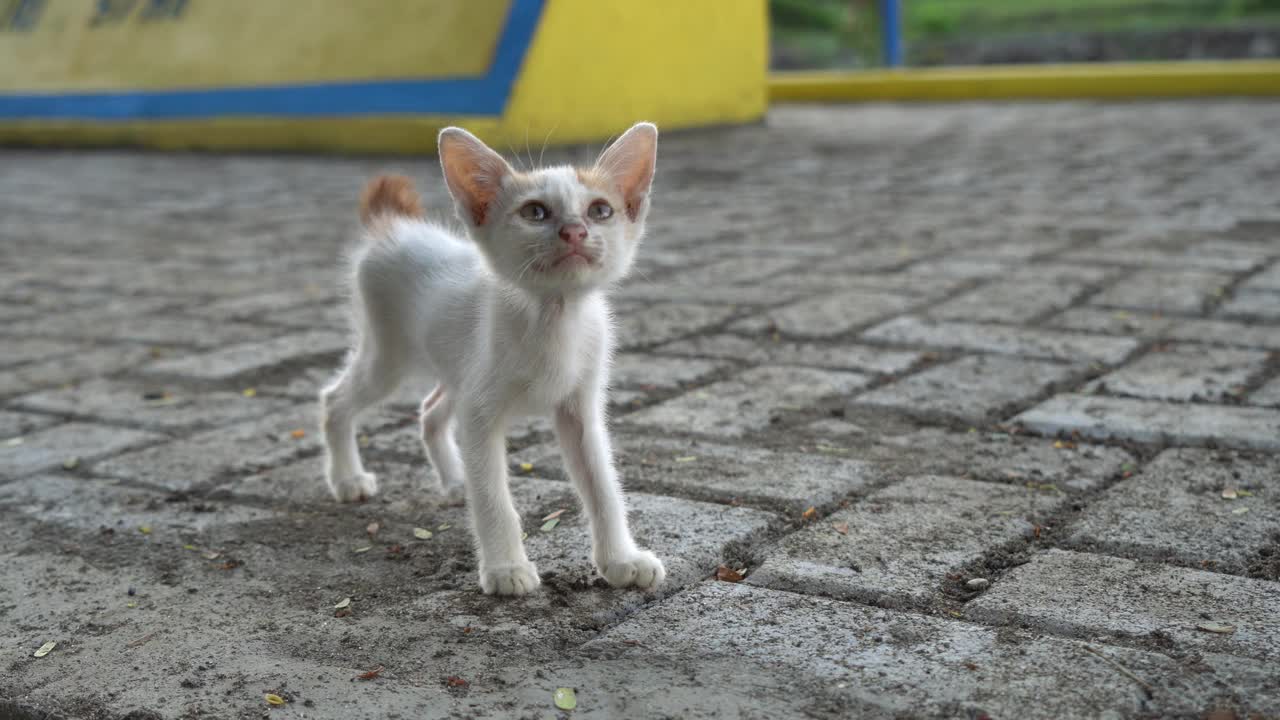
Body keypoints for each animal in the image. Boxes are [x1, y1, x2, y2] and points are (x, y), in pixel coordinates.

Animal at [317, 122, 670, 594]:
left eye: (601, 210)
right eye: (535, 212)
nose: (575, 231)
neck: (553, 317)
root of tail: (394, 226)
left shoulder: (579, 410)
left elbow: (603, 487)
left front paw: (621, 559)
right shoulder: (481, 412)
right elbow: (493, 498)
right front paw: (506, 568)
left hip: (455, 368)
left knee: (431, 411)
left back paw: (454, 480)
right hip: (388, 356)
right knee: (336, 399)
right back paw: (348, 478)